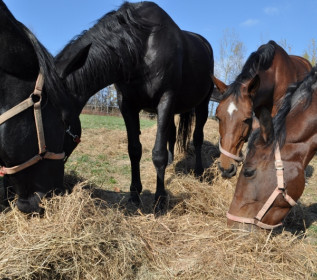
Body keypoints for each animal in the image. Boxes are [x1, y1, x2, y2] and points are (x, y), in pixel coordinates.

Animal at [54, 1, 214, 212]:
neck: (141, 48)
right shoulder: (127, 105)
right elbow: (135, 150)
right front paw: (134, 195)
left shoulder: (165, 99)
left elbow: (158, 153)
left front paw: (160, 200)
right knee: (172, 134)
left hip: (202, 104)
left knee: (197, 137)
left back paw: (199, 172)